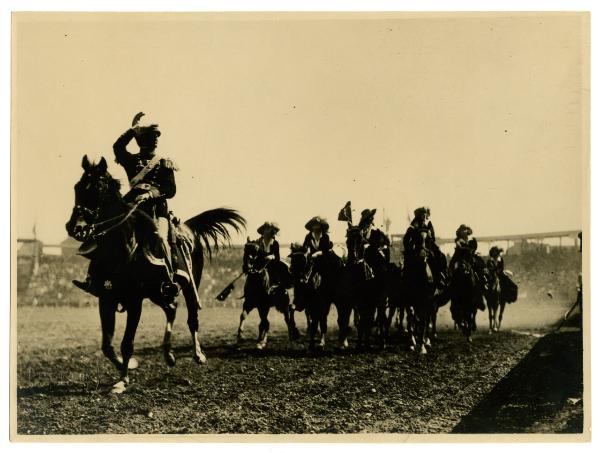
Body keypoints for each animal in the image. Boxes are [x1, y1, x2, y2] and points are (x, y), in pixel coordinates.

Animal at [65, 155, 244, 392]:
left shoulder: (135, 301)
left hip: (188, 286)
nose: (75, 227)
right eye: (77, 186)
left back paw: (198, 355)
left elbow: (127, 343)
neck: (123, 249)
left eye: (99, 188)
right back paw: (168, 354)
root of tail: (189, 229)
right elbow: (107, 345)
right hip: (158, 292)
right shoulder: (107, 299)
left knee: (191, 319)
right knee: (171, 308)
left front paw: (122, 380)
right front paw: (127, 366)